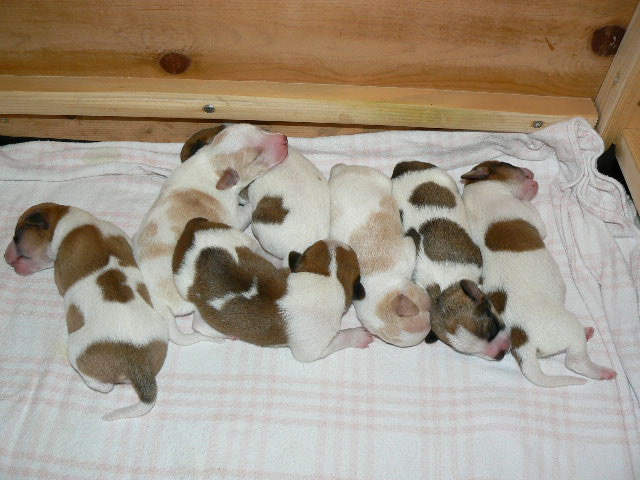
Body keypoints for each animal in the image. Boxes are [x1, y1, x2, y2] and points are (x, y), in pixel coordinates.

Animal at [4, 203, 169, 420]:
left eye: (16, 236)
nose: (4, 256)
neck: (69, 219)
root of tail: (136, 361)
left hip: (76, 349)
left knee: (104, 385)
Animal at [134, 123, 289, 345]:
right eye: (256, 157)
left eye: (258, 128)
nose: (284, 138)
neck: (211, 162)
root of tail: (158, 303)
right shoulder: (234, 214)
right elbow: (245, 212)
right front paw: (251, 201)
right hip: (193, 300)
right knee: (198, 324)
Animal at [172, 218, 373, 361]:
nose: (337, 241)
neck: (326, 278)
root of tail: (191, 230)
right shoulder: (311, 350)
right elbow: (339, 339)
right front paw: (357, 336)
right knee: (199, 325)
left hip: (235, 238)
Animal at [391, 161, 511, 360]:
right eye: (470, 352)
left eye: (491, 327)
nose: (500, 353)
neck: (447, 286)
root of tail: (404, 166)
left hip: (443, 178)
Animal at [461, 161, 617, 386]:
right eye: (509, 164)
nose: (531, 173)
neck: (480, 191)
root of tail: (522, 339)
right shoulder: (527, 213)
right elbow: (539, 224)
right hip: (567, 327)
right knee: (574, 362)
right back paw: (600, 369)